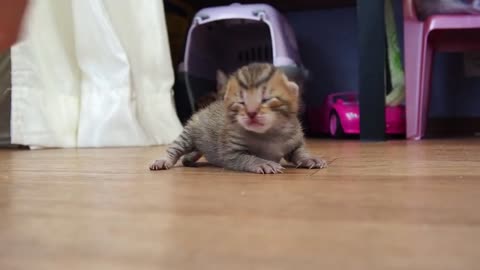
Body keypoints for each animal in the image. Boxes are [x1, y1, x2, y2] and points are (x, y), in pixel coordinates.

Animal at [150, 62, 326, 174]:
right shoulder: (232, 152)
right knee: (175, 148)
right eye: (241, 101)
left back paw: (189, 160)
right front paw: (263, 163)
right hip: (189, 134)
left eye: (266, 99)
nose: (251, 112)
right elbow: (248, 158)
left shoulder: (294, 138)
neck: (269, 133)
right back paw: (164, 160)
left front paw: (310, 158)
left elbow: (300, 151)